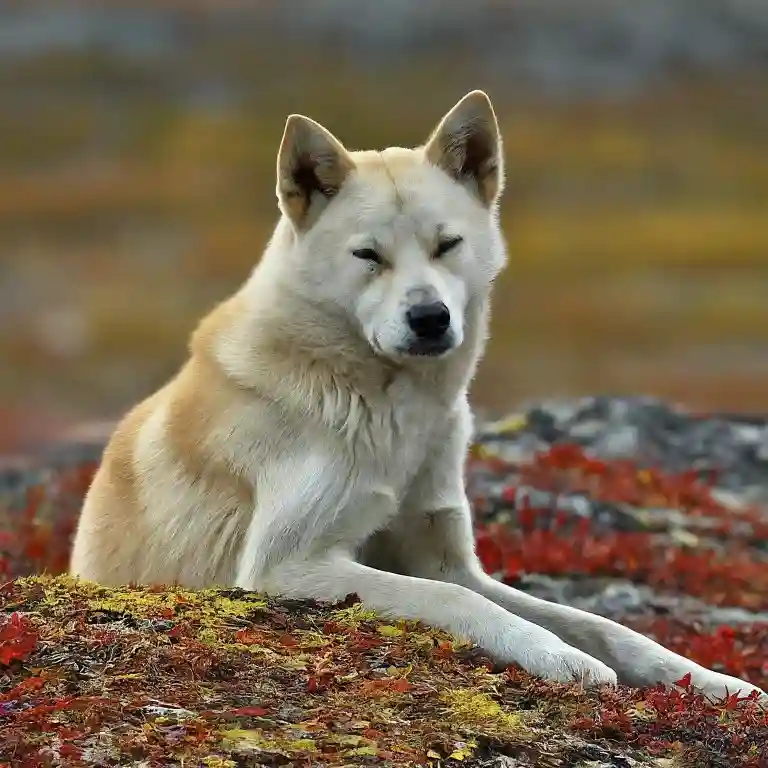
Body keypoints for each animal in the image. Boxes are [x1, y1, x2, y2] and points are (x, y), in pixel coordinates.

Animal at [69, 90, 764, 704]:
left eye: (447, 245)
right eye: (368, 255)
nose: (430, 319)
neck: (387, 407)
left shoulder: (444, 555)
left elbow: (603, 624)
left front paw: (714, 682)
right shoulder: (287, 566)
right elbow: (457, 601)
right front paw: (561, 659)